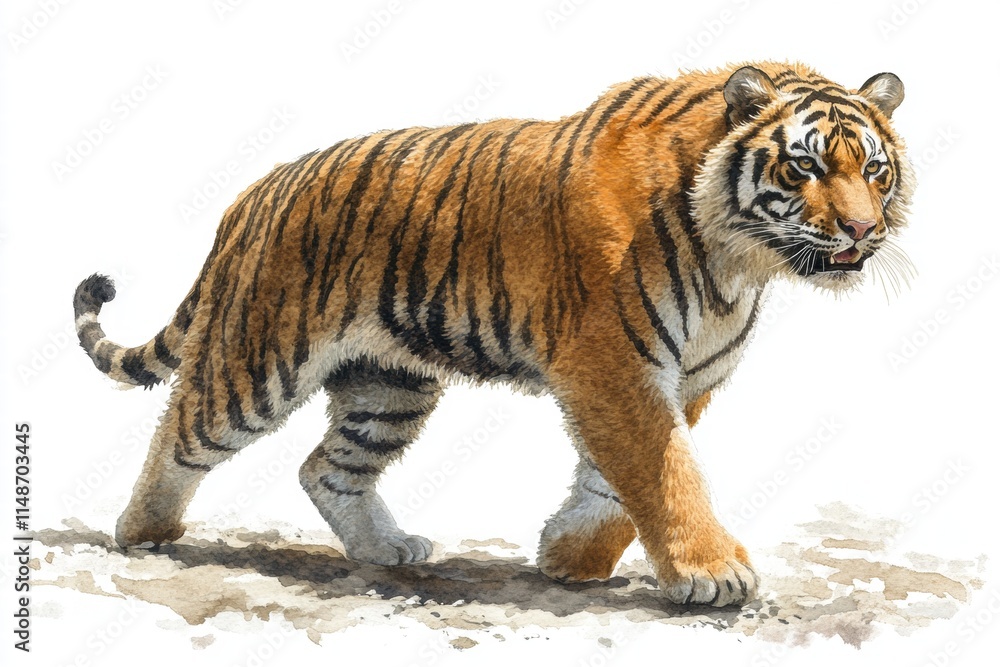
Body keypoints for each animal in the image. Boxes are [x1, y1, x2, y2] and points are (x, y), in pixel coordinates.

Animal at [73, 61, 912, 608]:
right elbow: (665, 470)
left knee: (326, 466)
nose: (861, 232)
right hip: (258, 358)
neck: (739, 257)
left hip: (389, 384)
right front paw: (710, 572)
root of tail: (253, 193)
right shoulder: (614, 361)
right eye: (804, 167)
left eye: (874, 171)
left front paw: (570, 557)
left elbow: (615, 480)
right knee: (182, 429)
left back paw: (386, 549)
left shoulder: (685, 374)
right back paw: (145, 529)